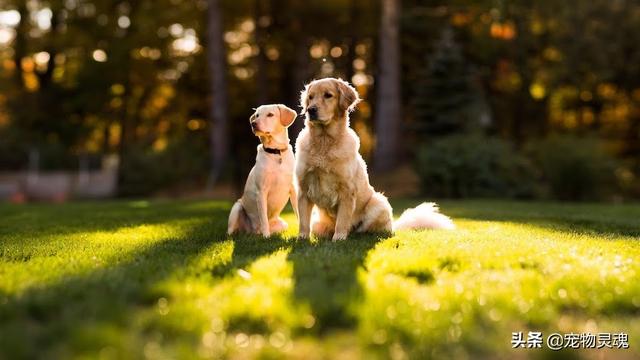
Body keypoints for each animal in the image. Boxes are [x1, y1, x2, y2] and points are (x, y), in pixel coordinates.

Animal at [229, 104, 298, 236]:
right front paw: (266, 237)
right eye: (256, 115)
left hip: (283, 224)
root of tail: (252, 232)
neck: (276, 152)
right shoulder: (261, 192)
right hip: (237, 207)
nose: (253, 123)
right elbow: (264, 218)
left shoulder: (294, 190)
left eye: (270, 114)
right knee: (229, 231)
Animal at [292, 77, 452, 240]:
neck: (324, 141)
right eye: (310, 97)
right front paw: (302, 239)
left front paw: (339, 239)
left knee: (365, 230)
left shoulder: (347, 191)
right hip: (318, 223)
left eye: (328, 95)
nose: (311, 110)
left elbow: (342, 220)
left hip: (379, 203)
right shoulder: (303, 190)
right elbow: (303, 222)